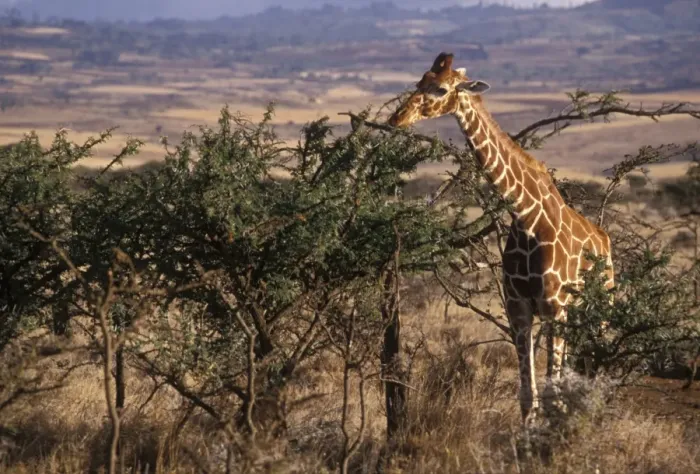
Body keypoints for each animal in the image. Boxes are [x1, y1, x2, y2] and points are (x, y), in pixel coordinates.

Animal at [388, 53, 615, 423]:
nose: (397, 118)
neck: (526, 217)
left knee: (600, 365)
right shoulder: (518, 309)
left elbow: (550, 395)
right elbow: (528, 396)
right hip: (576, 315)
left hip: (601, 307)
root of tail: (604, 239)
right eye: (420, 80)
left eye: (441, 89)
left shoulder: (554, 308)